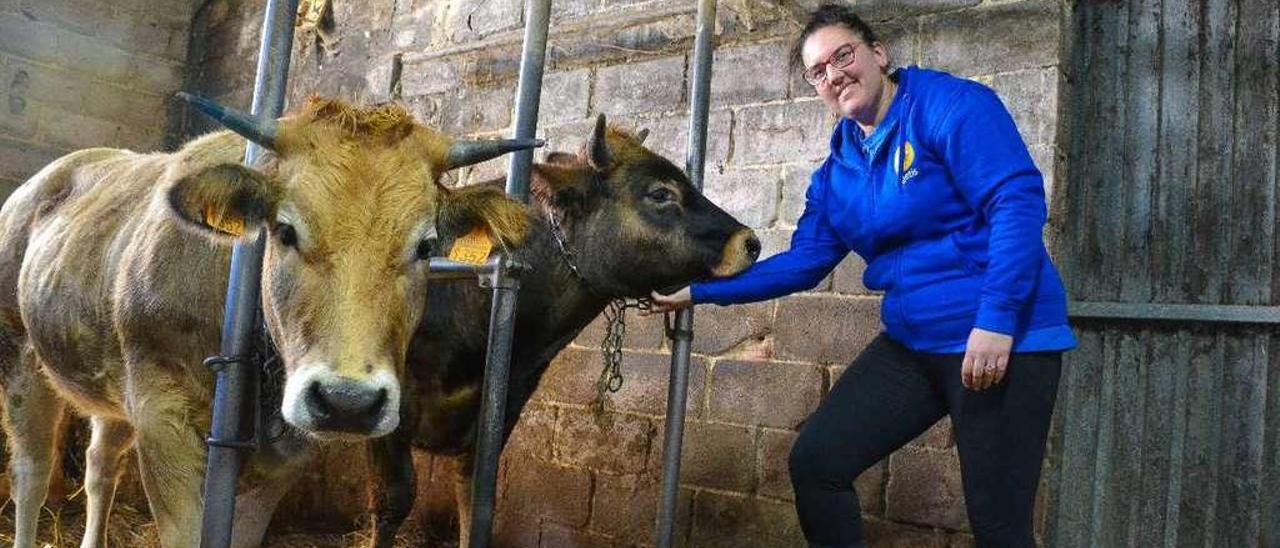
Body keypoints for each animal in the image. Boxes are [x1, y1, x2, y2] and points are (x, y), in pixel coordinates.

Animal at [0, 95, 535, 548]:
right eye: (285, 229)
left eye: (425, 246)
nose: (348, 402)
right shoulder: (162, 419)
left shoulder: (283, 457)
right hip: (21, 357)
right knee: (31, 470)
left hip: (111, 387)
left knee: (100, 466)